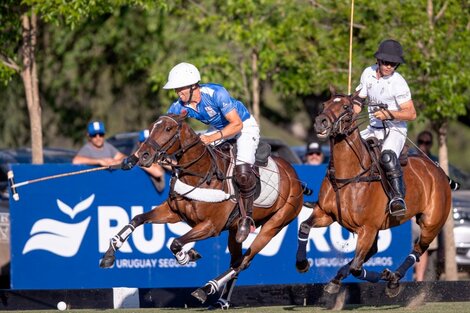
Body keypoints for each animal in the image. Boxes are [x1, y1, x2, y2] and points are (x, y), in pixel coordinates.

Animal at [99, 112, 304, 308]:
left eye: (168, 128)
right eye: (151, 128)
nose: (142, 155)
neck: (200, 174)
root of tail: (295, 176)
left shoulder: (211, 226)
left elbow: (175, 242)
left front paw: (186, 256)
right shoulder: (173, 212)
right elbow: (138, 218)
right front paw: (109, 254)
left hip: (274, 225)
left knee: (244, 261)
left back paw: (207, 289)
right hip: (234, 230)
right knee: (236, 259)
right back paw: (222, 301)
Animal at [296, 91, 454, 294]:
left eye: (346, 107)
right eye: (324, 104)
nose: (320, 122)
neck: (349, 175)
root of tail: (440, 170)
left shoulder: (367, 228)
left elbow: (357, 268)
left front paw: (386, 275)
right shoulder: (326, 214)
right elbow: (304, 226)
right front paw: (302, 264)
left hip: (431, 222)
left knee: (418, 250)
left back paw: (394, 279)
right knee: (372, 252)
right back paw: (339, 279)